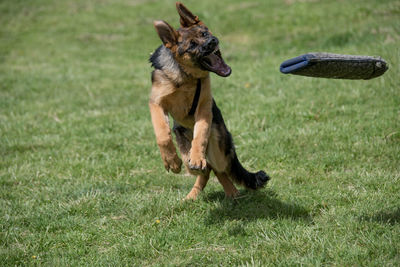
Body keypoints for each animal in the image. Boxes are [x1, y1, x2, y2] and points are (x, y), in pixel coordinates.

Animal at [148, 1, 268, 199]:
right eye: (192, 45)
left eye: (204, 33)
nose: (212, 42)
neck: (186, 77)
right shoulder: (156, 103)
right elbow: (162, 133)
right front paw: (171, 160)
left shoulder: (203, 107)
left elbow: (201, 133)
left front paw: (197, 156)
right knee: (203, 170)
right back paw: (193, 195)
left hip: (218, 149)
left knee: (215, 168)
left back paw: (231, 191)